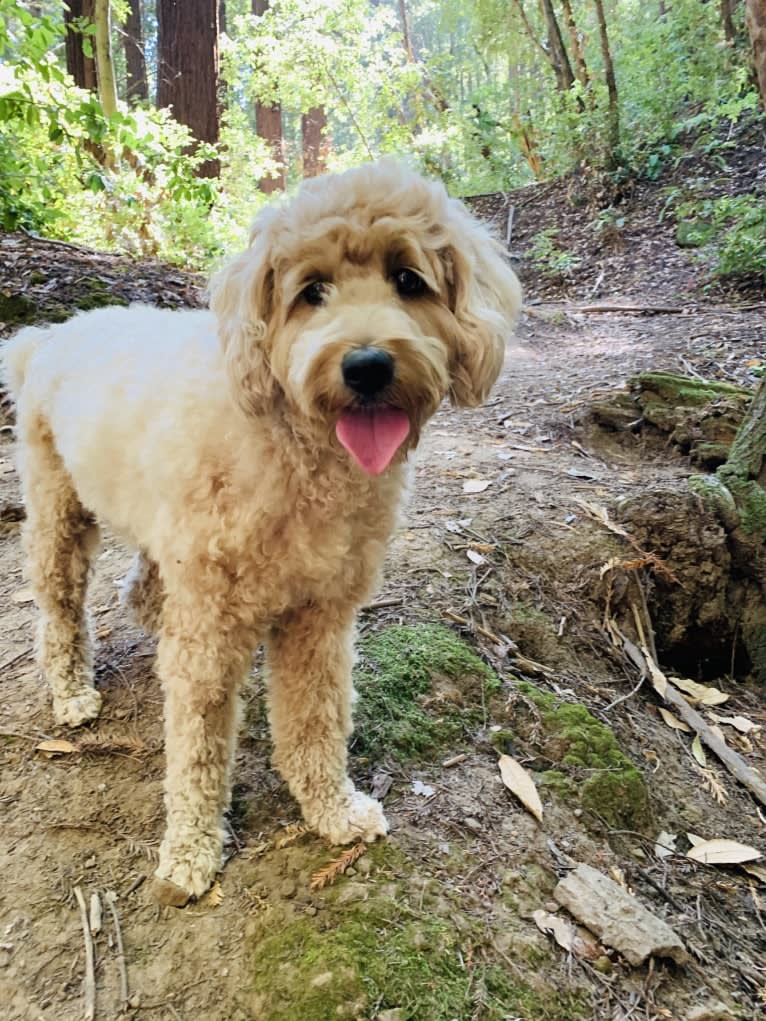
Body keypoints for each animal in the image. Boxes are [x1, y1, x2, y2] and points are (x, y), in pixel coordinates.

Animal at [3, 163, 522, 906]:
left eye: (408, 280)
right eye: (311, 292)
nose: (367, 365)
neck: (294, 447)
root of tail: (47, 334)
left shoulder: (321, 616)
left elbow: (315, 720)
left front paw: (332, 809)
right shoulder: (209, 635)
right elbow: (196, 747)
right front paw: (190, 851)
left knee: (144, 586)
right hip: (58, 505)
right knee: (61, 603)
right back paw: (71, 690)